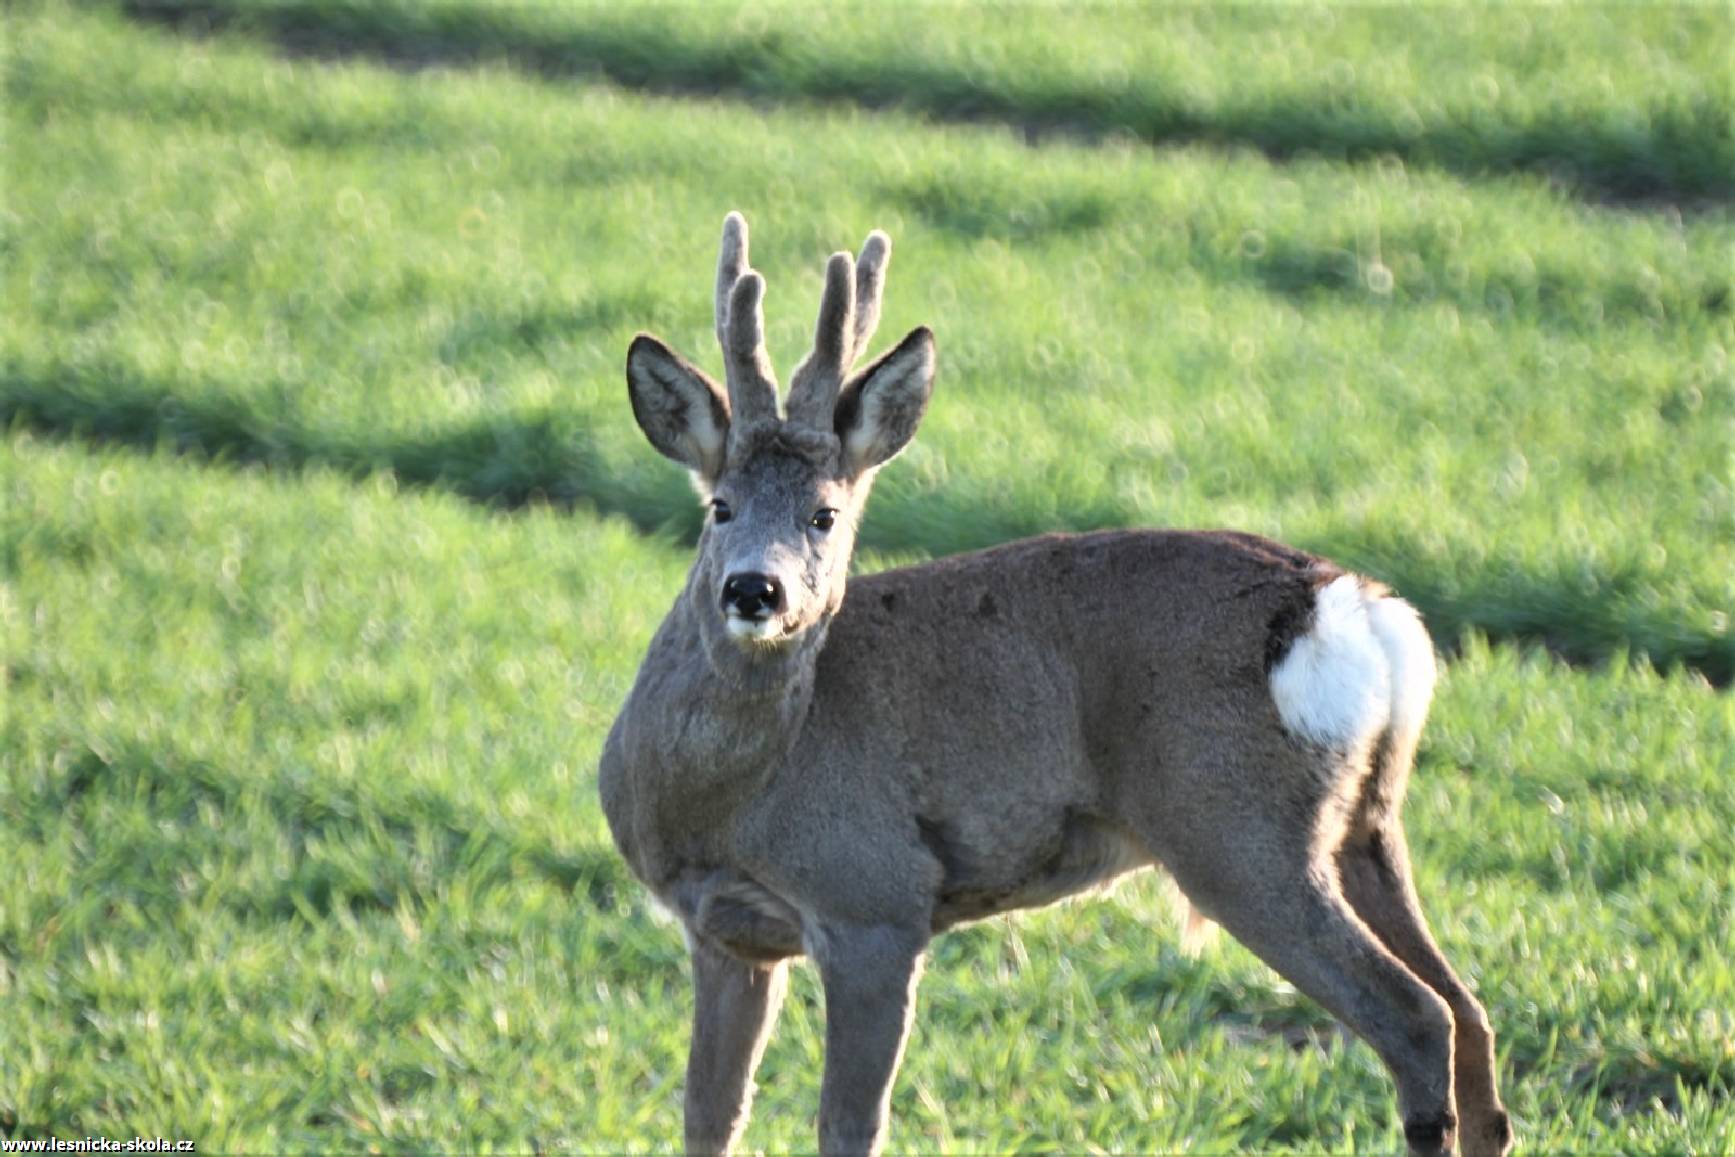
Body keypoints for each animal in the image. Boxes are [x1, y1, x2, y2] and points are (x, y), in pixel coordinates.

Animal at [603, 212, 1512, 1151]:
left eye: (824, 513)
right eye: (719, 507)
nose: (756, 589)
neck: (724, 799)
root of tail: (1352, 607)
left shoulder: (875, 899)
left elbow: (847, 1125)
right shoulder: (726, 932)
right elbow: (708, 1116)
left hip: (1238, 831)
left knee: (1416, 1016)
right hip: (1364, 825)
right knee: (1468, 1011)